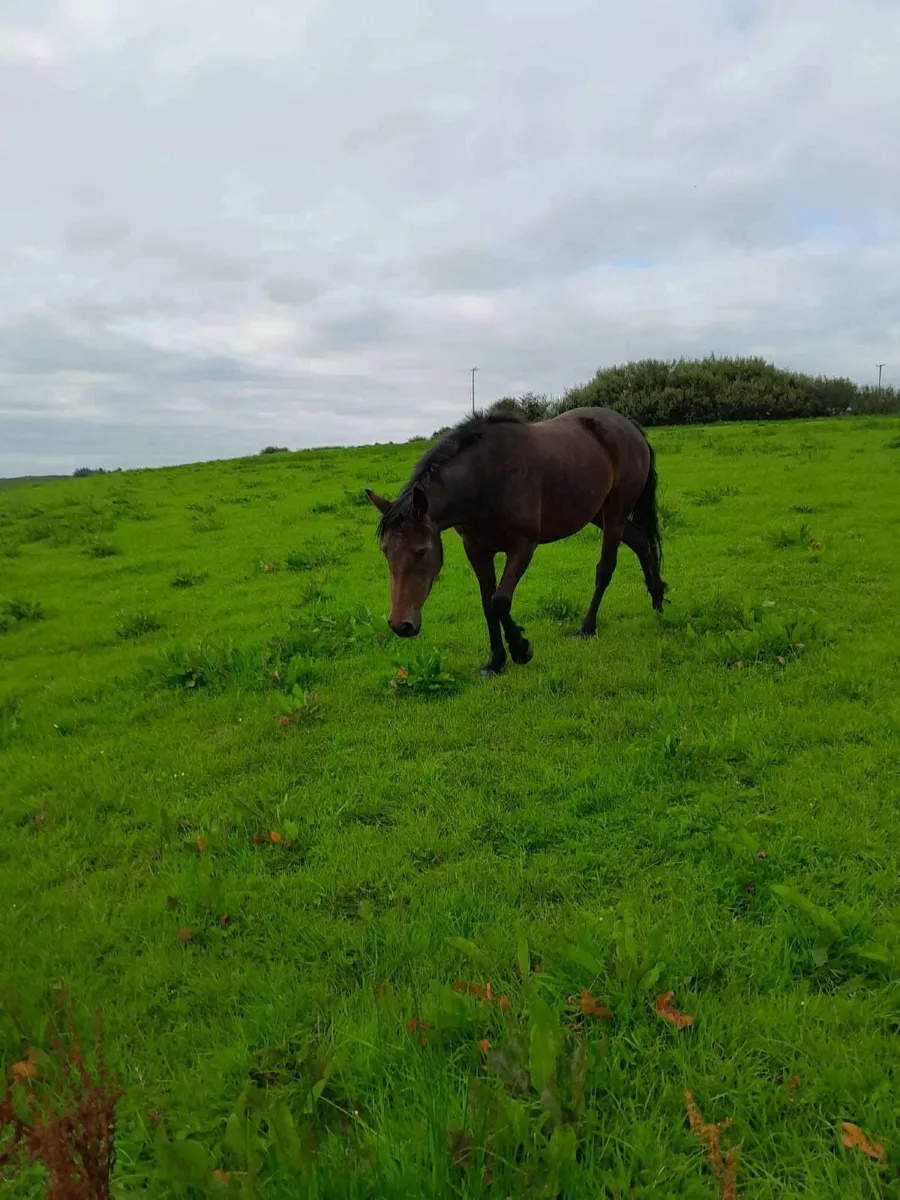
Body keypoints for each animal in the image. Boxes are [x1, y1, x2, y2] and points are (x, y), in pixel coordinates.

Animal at [365, 406, 667, 677]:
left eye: (421, 551)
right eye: (385, 551)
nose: (400, 624)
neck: (485, 478)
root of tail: (631, 427)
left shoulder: (522, 546)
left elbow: (500, 600)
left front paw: (521, 650)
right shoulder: (476, 549)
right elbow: (488, 604)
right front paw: (495, 662)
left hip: (615, 513)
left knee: (605, 568)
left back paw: (586, 627)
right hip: (599, 514)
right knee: (641, 542)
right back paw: (658, 599)